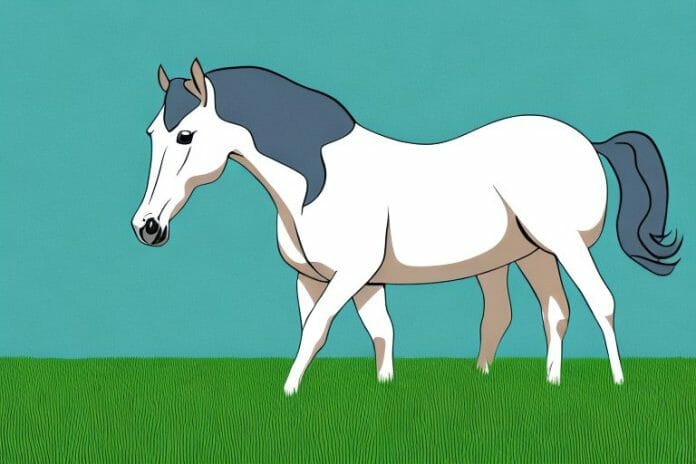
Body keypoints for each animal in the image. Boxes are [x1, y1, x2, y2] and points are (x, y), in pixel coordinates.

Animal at [132, 59, 681, 395]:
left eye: (186, 135)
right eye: (153, 133)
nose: (147, 227)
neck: (316, 180)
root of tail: (589, 141)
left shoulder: (349, 276)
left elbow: (316, 331)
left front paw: (286, 394)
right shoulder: (328, 280)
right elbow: (377, 332)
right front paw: (384, 389)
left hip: (566, 246)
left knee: (601, 303)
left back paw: (617, 383)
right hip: (531, 256)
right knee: (548, 313)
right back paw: (545, 383)